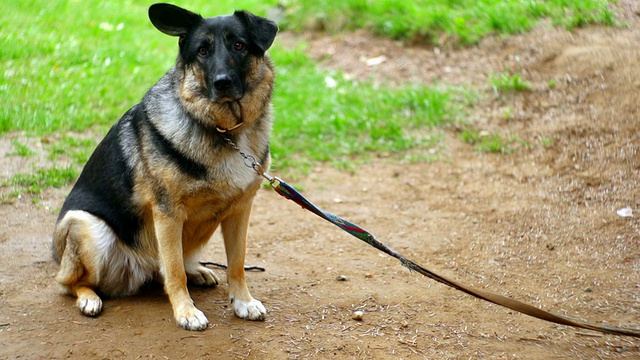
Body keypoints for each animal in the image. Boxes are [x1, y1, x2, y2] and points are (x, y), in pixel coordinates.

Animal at [52, 2, 278, 330]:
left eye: (239, 45)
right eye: (202, 51)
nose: (222, 82)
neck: (225, 131)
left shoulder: (240, 210)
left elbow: (236, 264)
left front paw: (243, 302)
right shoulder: (168, 214)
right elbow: (174, 270)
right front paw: (186, 311)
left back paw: (198, 271)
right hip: (87, 226)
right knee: (69, 283)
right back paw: (88, 298)